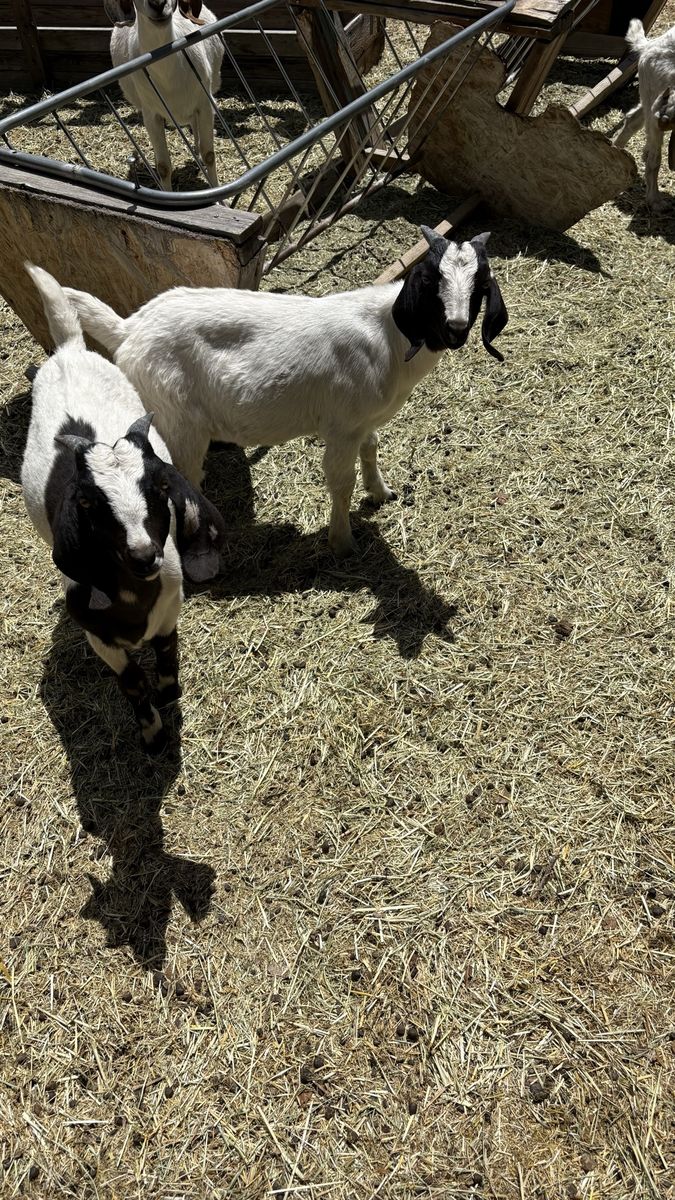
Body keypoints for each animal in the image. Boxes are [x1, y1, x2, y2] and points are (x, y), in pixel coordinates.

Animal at [21, 265, 225, 753]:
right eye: (87, 501)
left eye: (160, 486)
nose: (144, 555)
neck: (135, 597)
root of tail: (71, 350)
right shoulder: (101, 639)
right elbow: (132, 682)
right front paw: (151, 735)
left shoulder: (170, 610)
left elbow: (167, 657)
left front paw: (169, 696)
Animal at [65, 227, 508, 558]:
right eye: (431, 280)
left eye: (481, 283)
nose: (455, 328)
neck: (390, 336)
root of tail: (129, 329)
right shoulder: (341, 427)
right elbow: (340, 481)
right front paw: (342, 542)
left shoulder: (362, 421)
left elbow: (372, 448)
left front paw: (381, 492)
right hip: (178, 422)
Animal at [104, 0, 223, 190]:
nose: (158, 4)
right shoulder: (152, 115)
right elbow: (163, 167)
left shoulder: (204, 104)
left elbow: (209, 155)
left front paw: (218, 194)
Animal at [612, 19, 675, 208]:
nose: (665, 117)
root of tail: (649, 45)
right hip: (655, 95)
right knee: (654, 158)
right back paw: (655, 201)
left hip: (650, 97)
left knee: (633, 119)